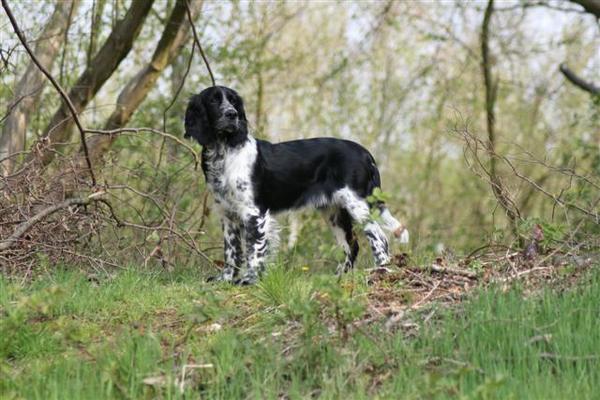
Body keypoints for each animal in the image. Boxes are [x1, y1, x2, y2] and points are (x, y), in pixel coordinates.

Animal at [183, 85, 408, 284]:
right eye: (214, 100)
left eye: (233, 101)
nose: (232, 114)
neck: (225, 151)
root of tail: (365, 153)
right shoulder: (227, 214)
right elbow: (231, 251)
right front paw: (226, 279)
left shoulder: (254, 212)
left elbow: (253, 251)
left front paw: (249, 280)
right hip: (334, 212)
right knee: (351, 246)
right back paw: (338, 278)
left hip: (357, 205)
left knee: (379, 238)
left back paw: (381, 271)